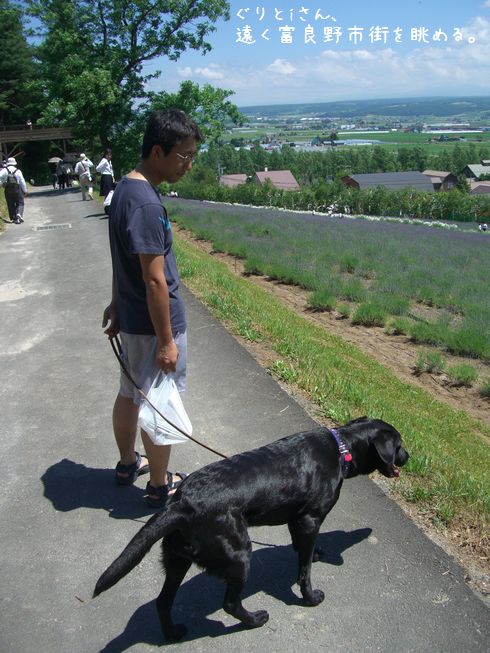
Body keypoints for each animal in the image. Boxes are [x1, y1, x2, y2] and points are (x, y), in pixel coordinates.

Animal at [94, 418, 408, 636]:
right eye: (399, 444)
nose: (408, 458)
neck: (341, 448)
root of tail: (180, 504)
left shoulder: (298, 520)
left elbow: (302, 549)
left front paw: (315, 553)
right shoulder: (310, 520)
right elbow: (304, 570)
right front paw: (310, 597)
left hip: (177, 559)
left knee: (163, 601)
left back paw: (173, 633)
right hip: (239, 555)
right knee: (230, 604)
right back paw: (255, 619)